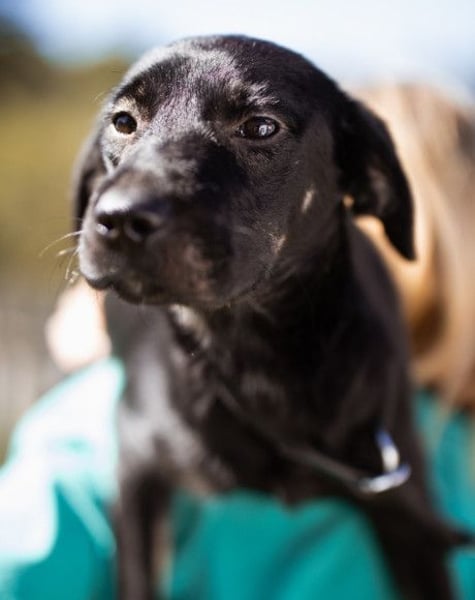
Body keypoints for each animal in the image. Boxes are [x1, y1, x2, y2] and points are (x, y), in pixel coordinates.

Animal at [74, 35, 461, 599]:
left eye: (260, 126)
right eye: (124, 122)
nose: (120, 219)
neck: (254, 358)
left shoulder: (406, 506)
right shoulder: (135, 464)